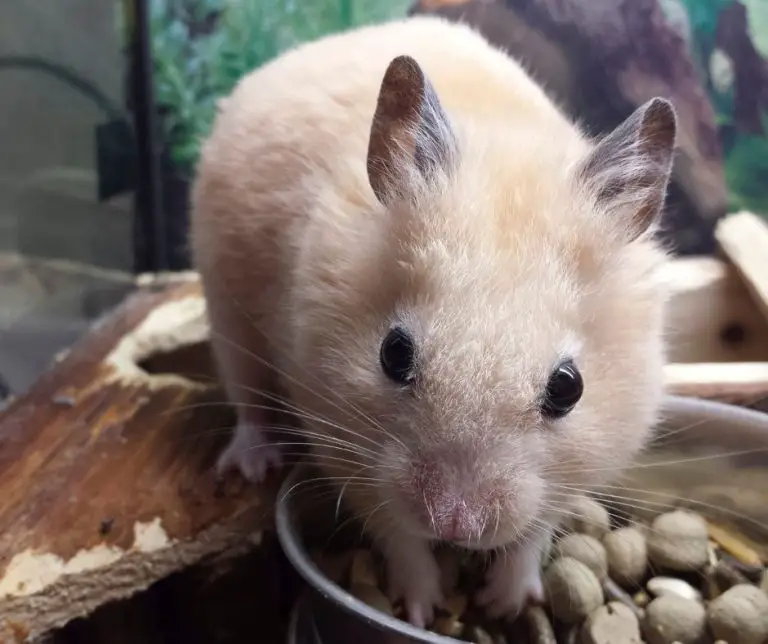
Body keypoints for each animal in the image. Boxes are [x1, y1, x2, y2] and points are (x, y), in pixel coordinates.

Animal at [190, 15, 677, 628]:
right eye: (393, 354)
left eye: (570, 388)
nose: (455, 524)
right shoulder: (338, 434)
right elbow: (398, 536)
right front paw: (421, 609)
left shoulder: (589, 458)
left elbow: (533, 533)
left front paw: (503, 602)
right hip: (225, 307)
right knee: (247, 399)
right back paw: (252, 464)